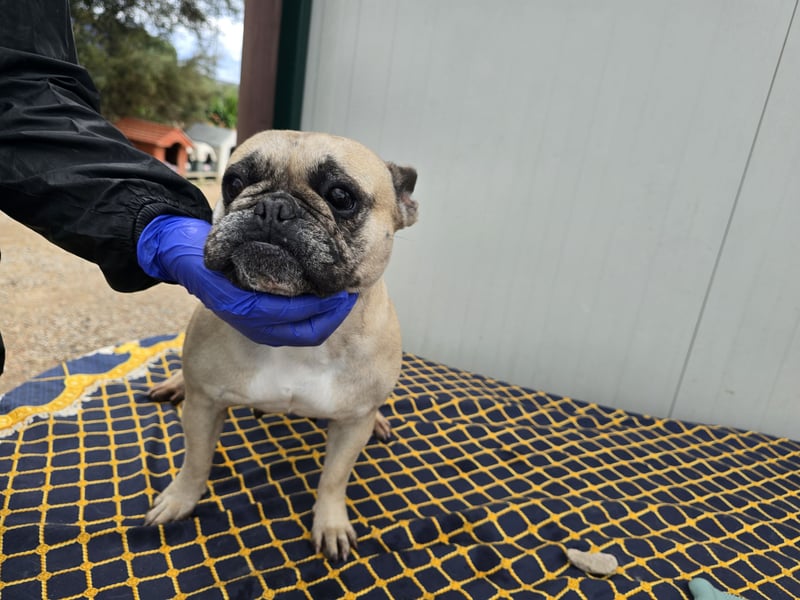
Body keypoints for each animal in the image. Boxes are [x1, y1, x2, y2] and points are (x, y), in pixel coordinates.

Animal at [144, 130, 418, 562]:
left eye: (341, 197)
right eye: (234, 182)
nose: (272, 206)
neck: (294, 339)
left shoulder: (351, 427)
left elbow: (334, 479)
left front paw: (331, 524)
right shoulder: (204, 405)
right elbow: (197, 460)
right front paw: (180, 499)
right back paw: (175, 384)